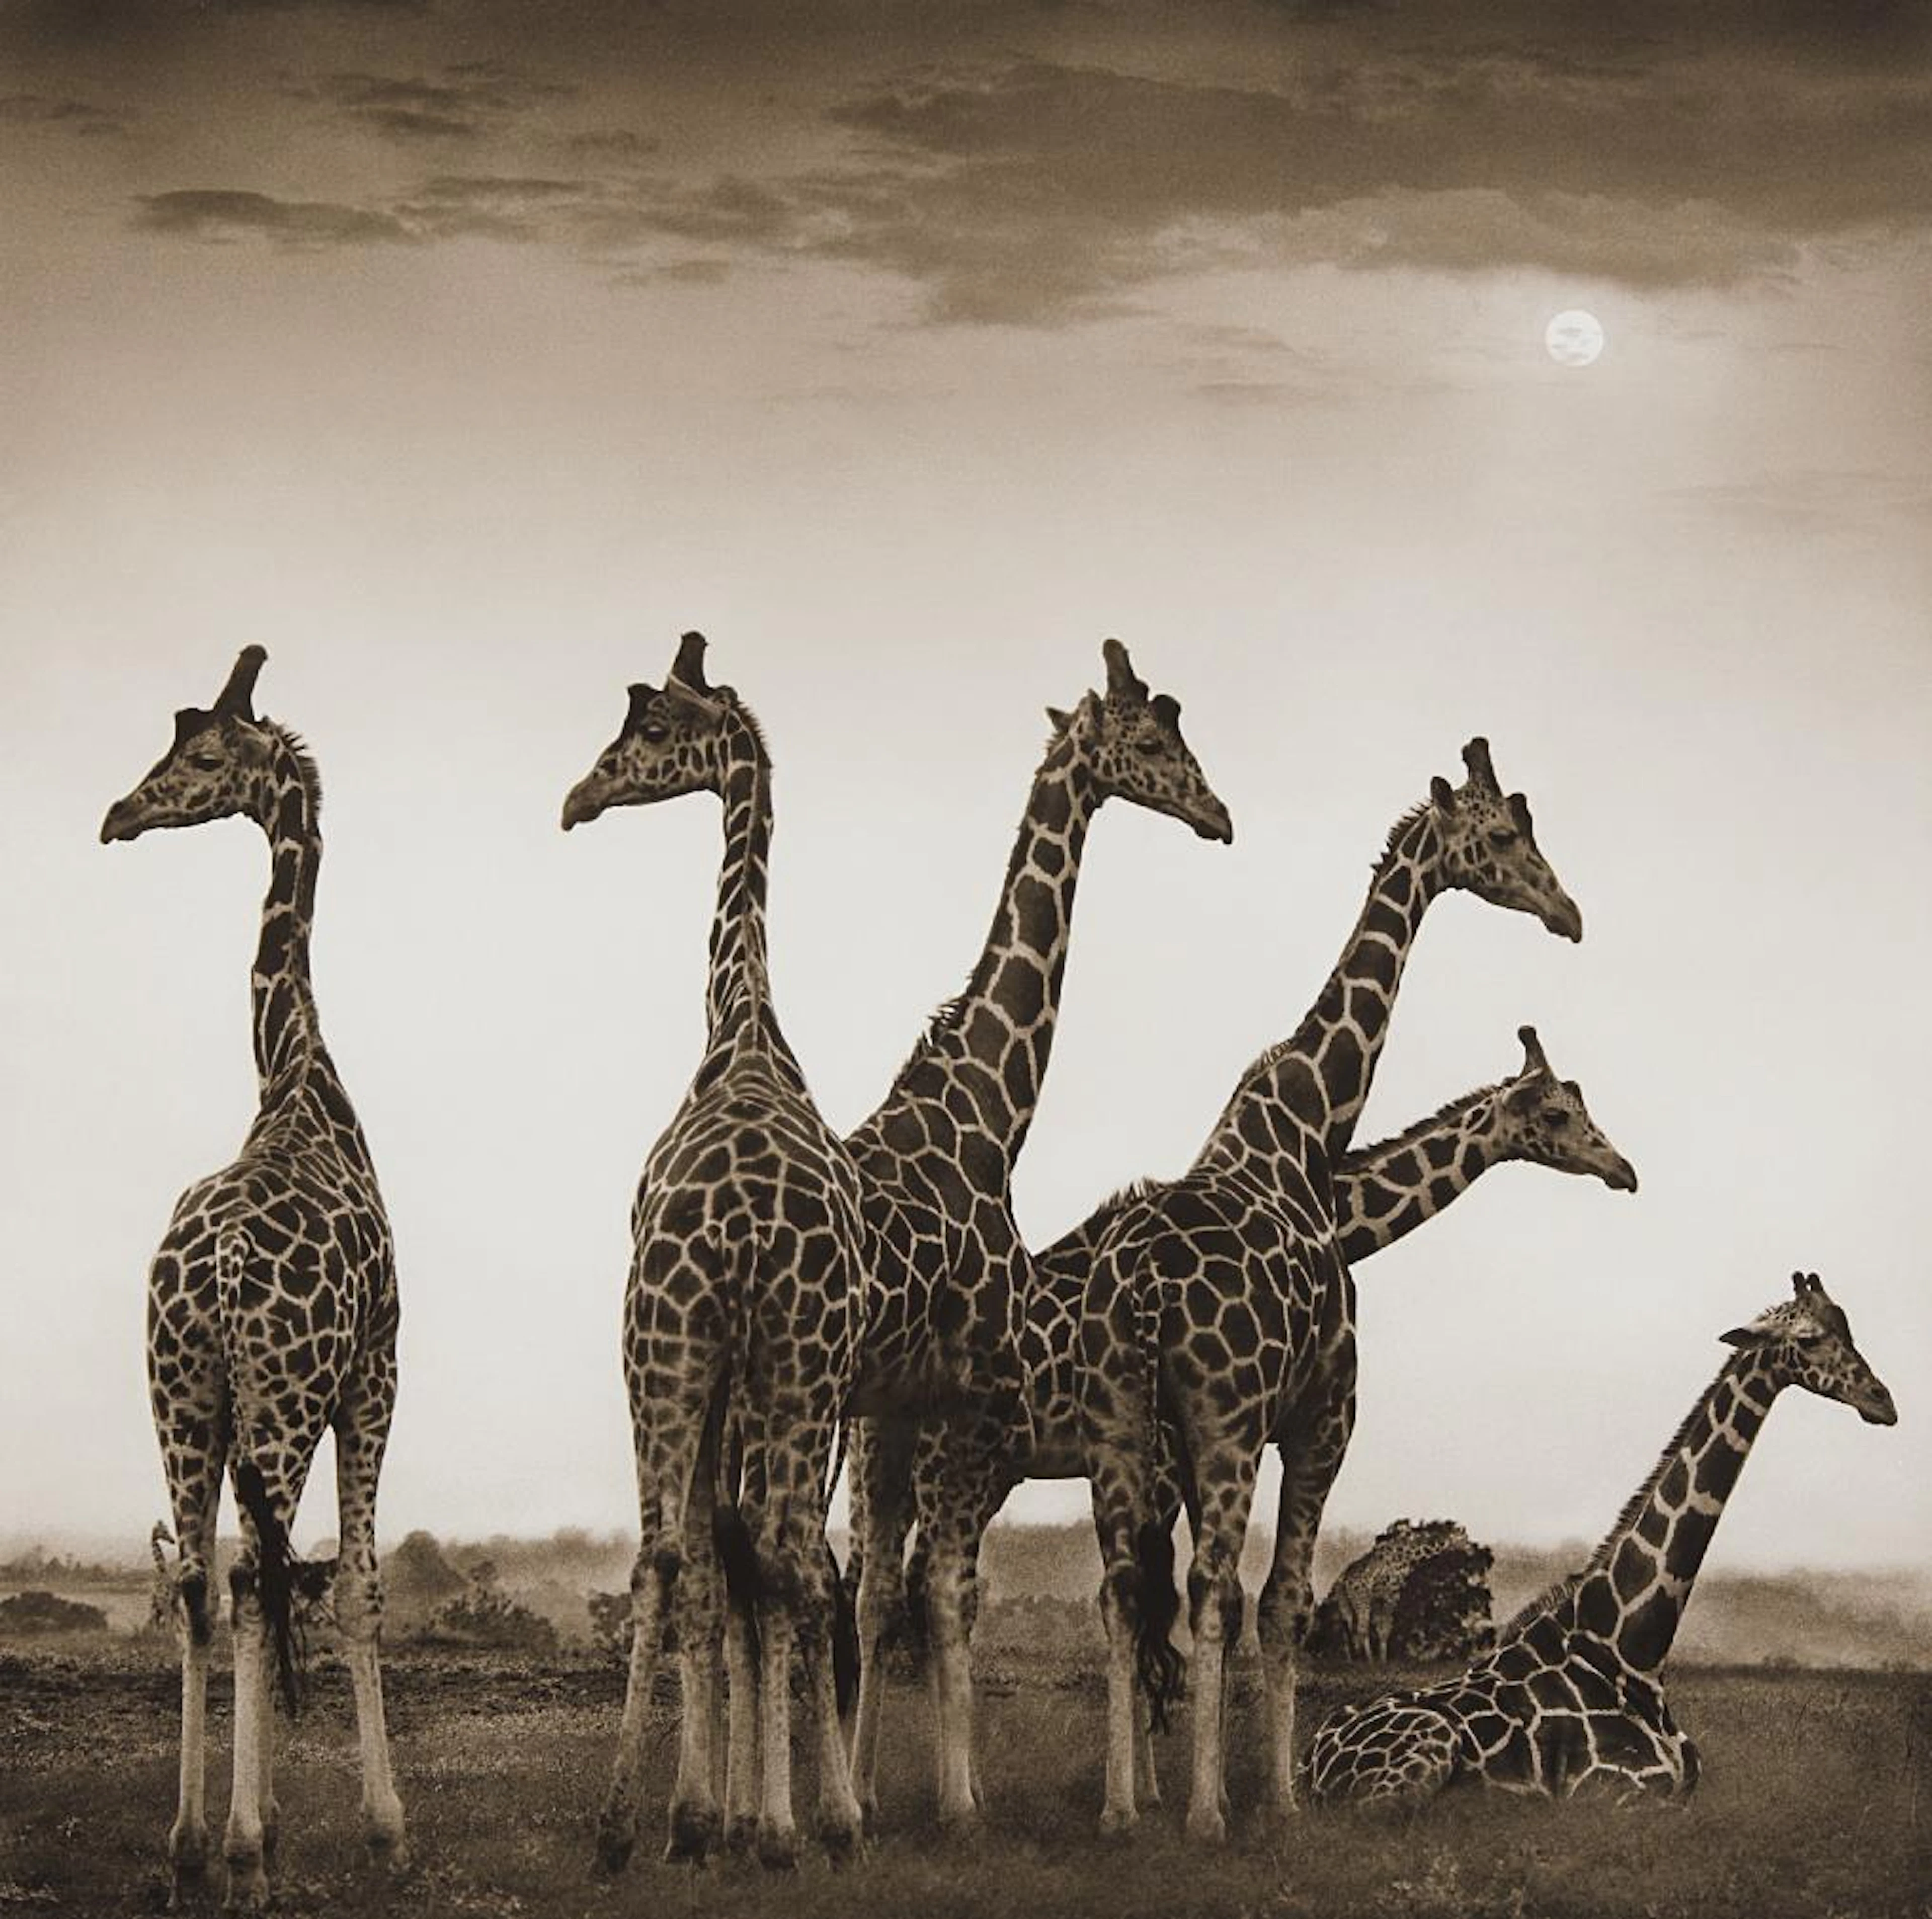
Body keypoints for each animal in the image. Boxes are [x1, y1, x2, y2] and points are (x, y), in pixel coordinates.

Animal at [843, 638, 1234, 1834]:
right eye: (1153, 737)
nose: (1219, 814)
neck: (983, 1112)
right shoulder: (972, 1400)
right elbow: (965, 1590)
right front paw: (966, 1801)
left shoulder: (928, 1412)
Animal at [883, 1020, 1635, 1801]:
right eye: (1559, 1115)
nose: (1622, 1168)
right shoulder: (1172, 1462)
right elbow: (1177, 1603)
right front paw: (1168, 1792)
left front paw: (1169, 1790)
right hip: (961, 1464)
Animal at [1080, 738, 1585, 1842]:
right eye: (1503, 835)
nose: (1568, 912)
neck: (1308, 1129)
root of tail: (1141, 1287)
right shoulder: (1323, 1413)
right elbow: (1282, 1600)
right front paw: (1278, 1798)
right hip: (1221, 1422)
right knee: (1207, 1585)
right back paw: (1205, 1812)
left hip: (1119, 1424)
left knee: (1123, 1586)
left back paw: (1122, 1809)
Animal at [1307, 1272, 1897, 1807]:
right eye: (1809, 1338)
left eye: (1848, 1327)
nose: (1883, 1402)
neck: (1633, 1654)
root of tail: (1309, 1763)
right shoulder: (1615, 1792)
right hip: (1420, 1757)